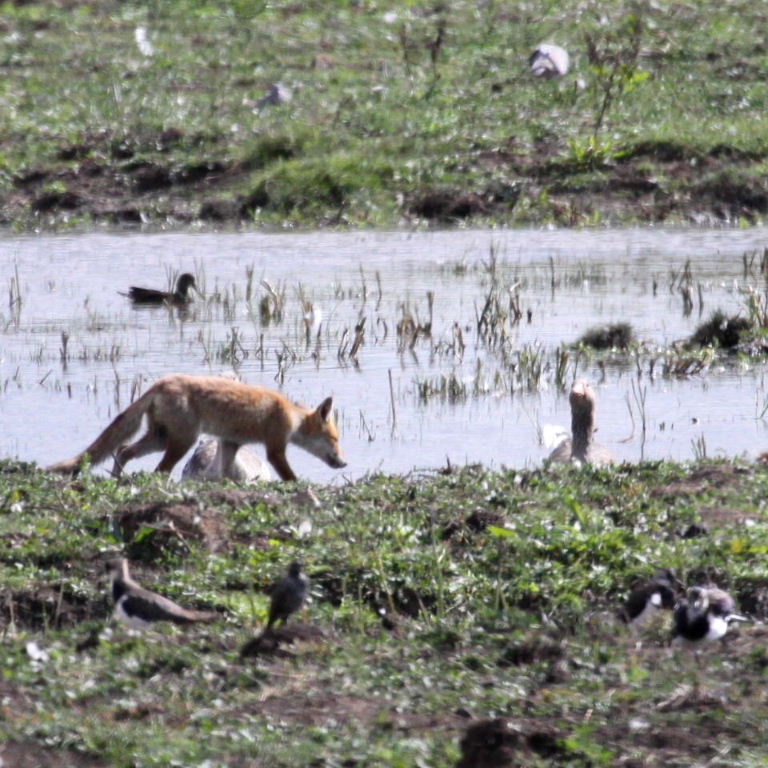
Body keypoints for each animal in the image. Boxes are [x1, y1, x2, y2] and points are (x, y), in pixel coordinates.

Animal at [47, 374, 347, 482]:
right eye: (334, 439)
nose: (344, 463)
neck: (291, 417)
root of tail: (160, 383)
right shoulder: (275, 449)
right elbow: (290, 477)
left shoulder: (230, 442)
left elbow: (224, 472)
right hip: (183, 441)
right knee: (159, 470)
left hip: (160, 439)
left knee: (123, 449)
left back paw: (117, 480)